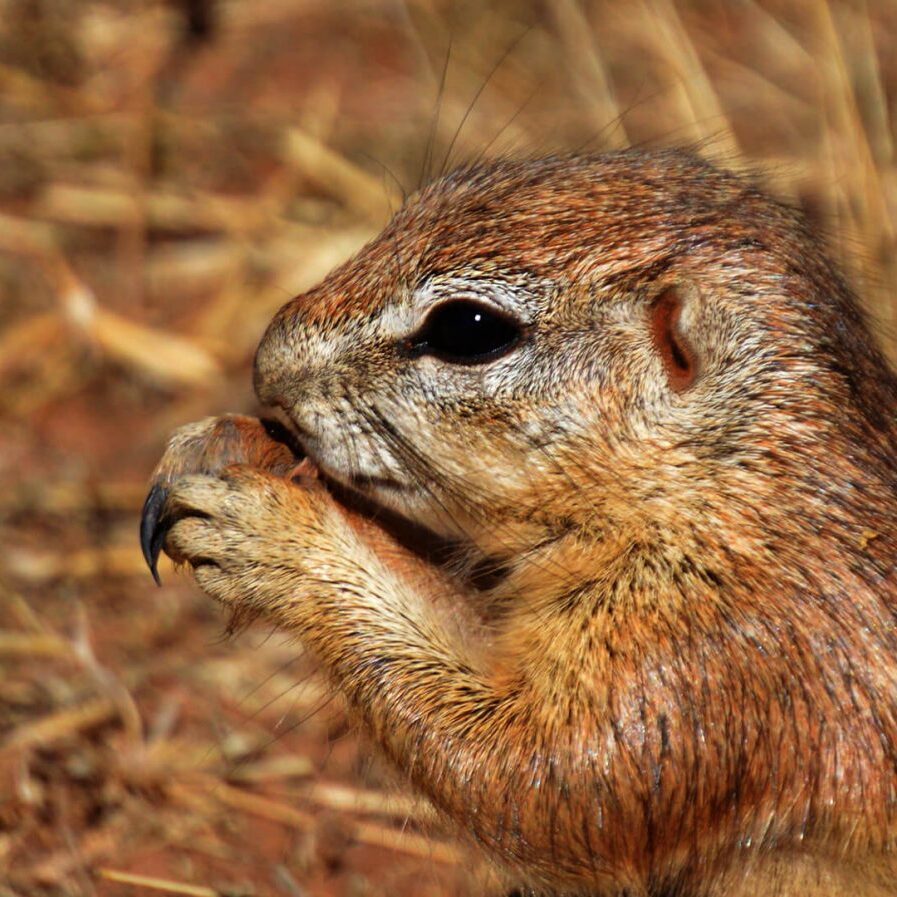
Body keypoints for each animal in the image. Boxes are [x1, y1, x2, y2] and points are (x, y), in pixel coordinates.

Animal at [144, 152, 896, 896]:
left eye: (468, 330)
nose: (265, 365)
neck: (729, 490)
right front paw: (224, 443)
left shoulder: (709, 657)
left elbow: (539, 772)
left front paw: (275, 534)